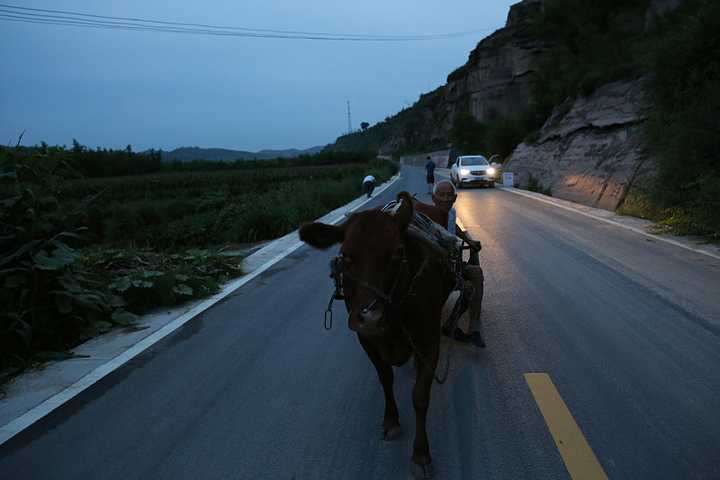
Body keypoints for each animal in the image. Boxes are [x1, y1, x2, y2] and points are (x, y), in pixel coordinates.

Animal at [298, 190, 456, 476]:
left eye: (397, 252)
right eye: (346, 255)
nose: (369, 316)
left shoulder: (429, 340)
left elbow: (420, 395)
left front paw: (421, 454)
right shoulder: (366, 338)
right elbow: (385, 378)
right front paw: (391, 421)